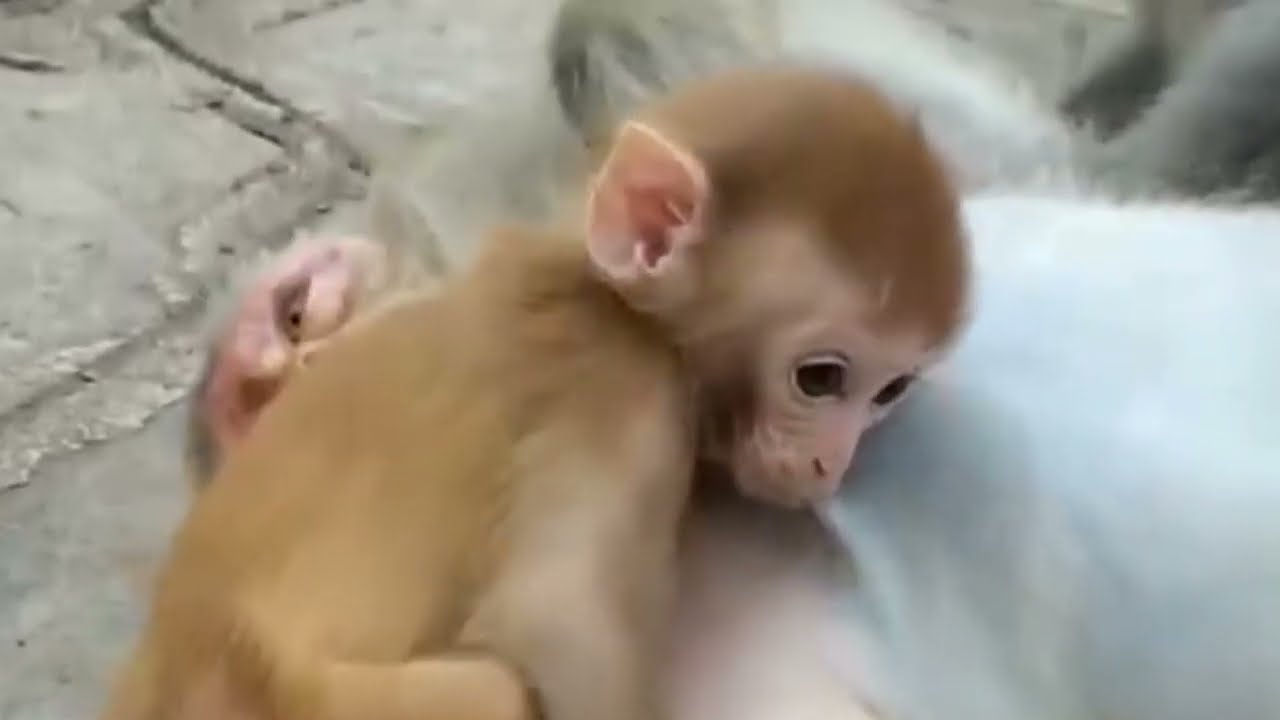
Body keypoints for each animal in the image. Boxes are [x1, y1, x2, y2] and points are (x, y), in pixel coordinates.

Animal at [106, 63, 970, 720]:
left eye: (890, 390)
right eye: (821, 379)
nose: (831, 464)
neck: (589, 288)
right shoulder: (621, 395)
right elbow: (556, 624)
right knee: (493, 686)